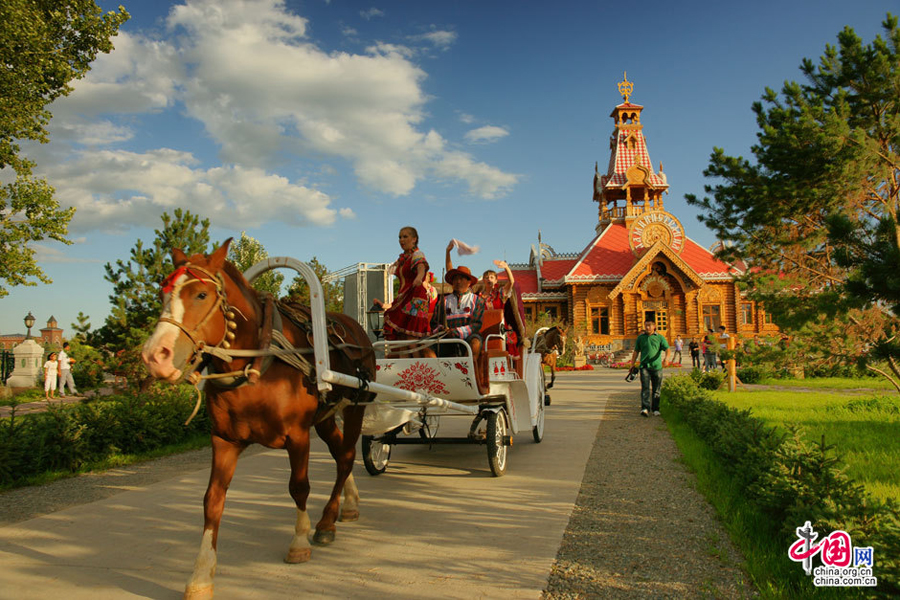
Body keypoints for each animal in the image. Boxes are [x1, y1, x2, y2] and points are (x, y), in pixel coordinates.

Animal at [142, 241, 374, 600]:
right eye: (162, 294)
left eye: (201, 295)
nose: (155, 356)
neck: (260, 361)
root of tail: (356, 326)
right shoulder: (224, 439)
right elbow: (212, 501)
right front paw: (201, 575)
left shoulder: (297, 435)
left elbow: (299, 487)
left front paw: (299, 541)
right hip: (324, 417)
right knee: (340, 456)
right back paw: (347, 504)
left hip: (354, 406)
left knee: (347, 455)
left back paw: (326, 521)